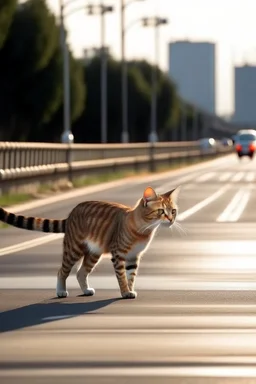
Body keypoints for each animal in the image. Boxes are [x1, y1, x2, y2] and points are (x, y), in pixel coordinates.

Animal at [0, 186, 180, 300]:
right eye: (161, 211)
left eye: (173, 211)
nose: (171, 219)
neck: (143, 230)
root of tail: (71, 213)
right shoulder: (119, 254)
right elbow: (122, 276)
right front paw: (124, 292)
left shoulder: (133, 257)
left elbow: (131, 276)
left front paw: (130, 290)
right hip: (73, 249)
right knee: (62, 271)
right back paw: (61, 291)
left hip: (94, 253)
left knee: (81, 272)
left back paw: (86, 290)